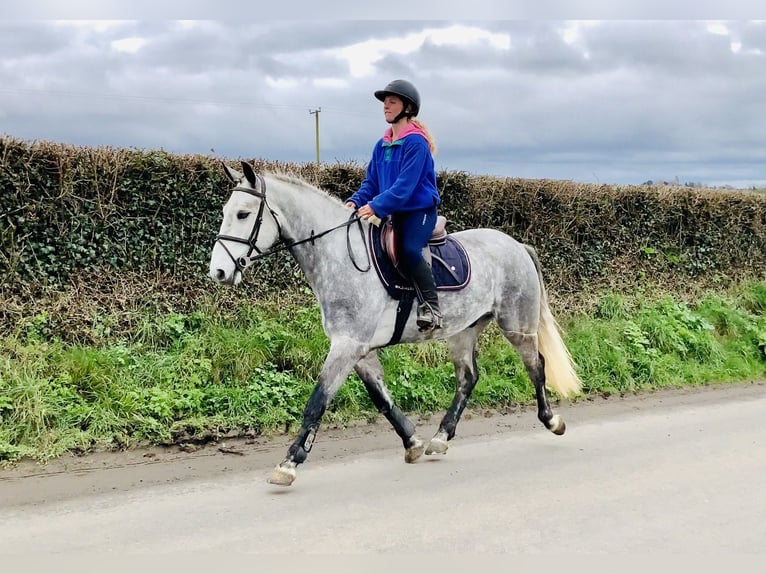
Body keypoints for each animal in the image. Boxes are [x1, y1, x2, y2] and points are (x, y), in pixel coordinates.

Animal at [209, 161, 581, 486]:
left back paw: (552, 420)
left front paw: (289, 463)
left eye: (243, 214)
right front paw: (412, 442)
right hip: (463, 331)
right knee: (468, 378)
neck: (340, 256)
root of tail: (516, 244)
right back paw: (441, 437)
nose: (219, 272)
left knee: (536, 366)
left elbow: (318, 401)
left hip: (517, 326)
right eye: (226, 212)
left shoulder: (347, 346)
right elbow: (381, 397)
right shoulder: (358, 349)